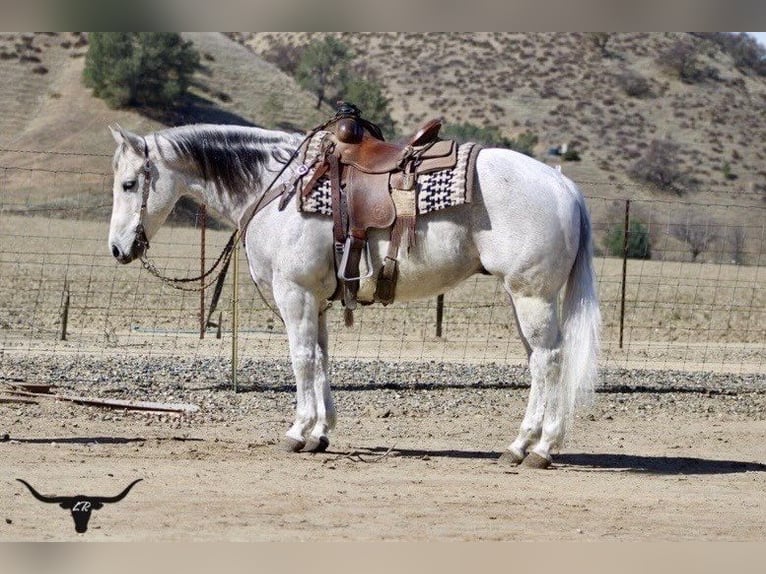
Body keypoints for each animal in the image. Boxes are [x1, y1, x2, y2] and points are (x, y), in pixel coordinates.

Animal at [107, 122, 600, 468]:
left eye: (129, 184)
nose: (117, 249)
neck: (276, 188)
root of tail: (564, 185)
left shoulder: (295, 295)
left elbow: (302, 359)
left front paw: (297, 431)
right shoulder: (318, 301)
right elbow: (322, 359)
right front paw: (320, 434)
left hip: (532, 296)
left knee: (550, 361)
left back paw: (540, 448)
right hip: (523, 300)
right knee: (537, 363)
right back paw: (522, 446)